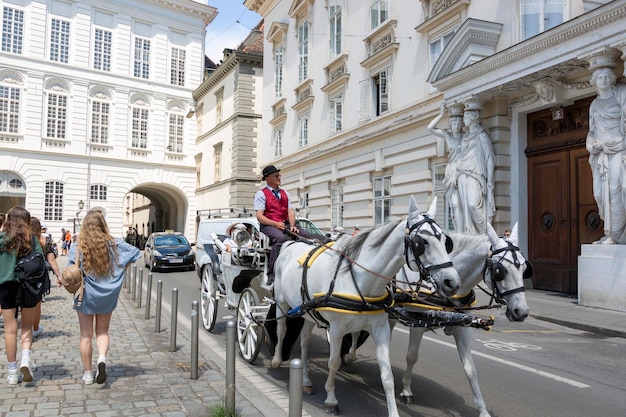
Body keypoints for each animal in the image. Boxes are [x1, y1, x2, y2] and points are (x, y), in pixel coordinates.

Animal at [268, 197, 458, 416]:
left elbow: (387, 375)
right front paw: (331, 399)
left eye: (447, 242)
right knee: (281, 330)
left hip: (309, 312)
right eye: (422, 243)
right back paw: (276, 359)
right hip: (282, 303)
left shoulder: (381, 329)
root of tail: (289, 243)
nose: (452, 282)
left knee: (305, 343)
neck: (360, 280)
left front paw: (393, 410)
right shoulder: (336, 329)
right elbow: (334, 363)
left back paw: (306, 380)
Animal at [394, 224, 528, 416]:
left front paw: (482, 410)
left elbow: (470, 369)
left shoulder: (462, 328)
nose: (521, 312)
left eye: (525, 269)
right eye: (499, 271)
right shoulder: (417, 324)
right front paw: (406, 390)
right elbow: (412, 356)